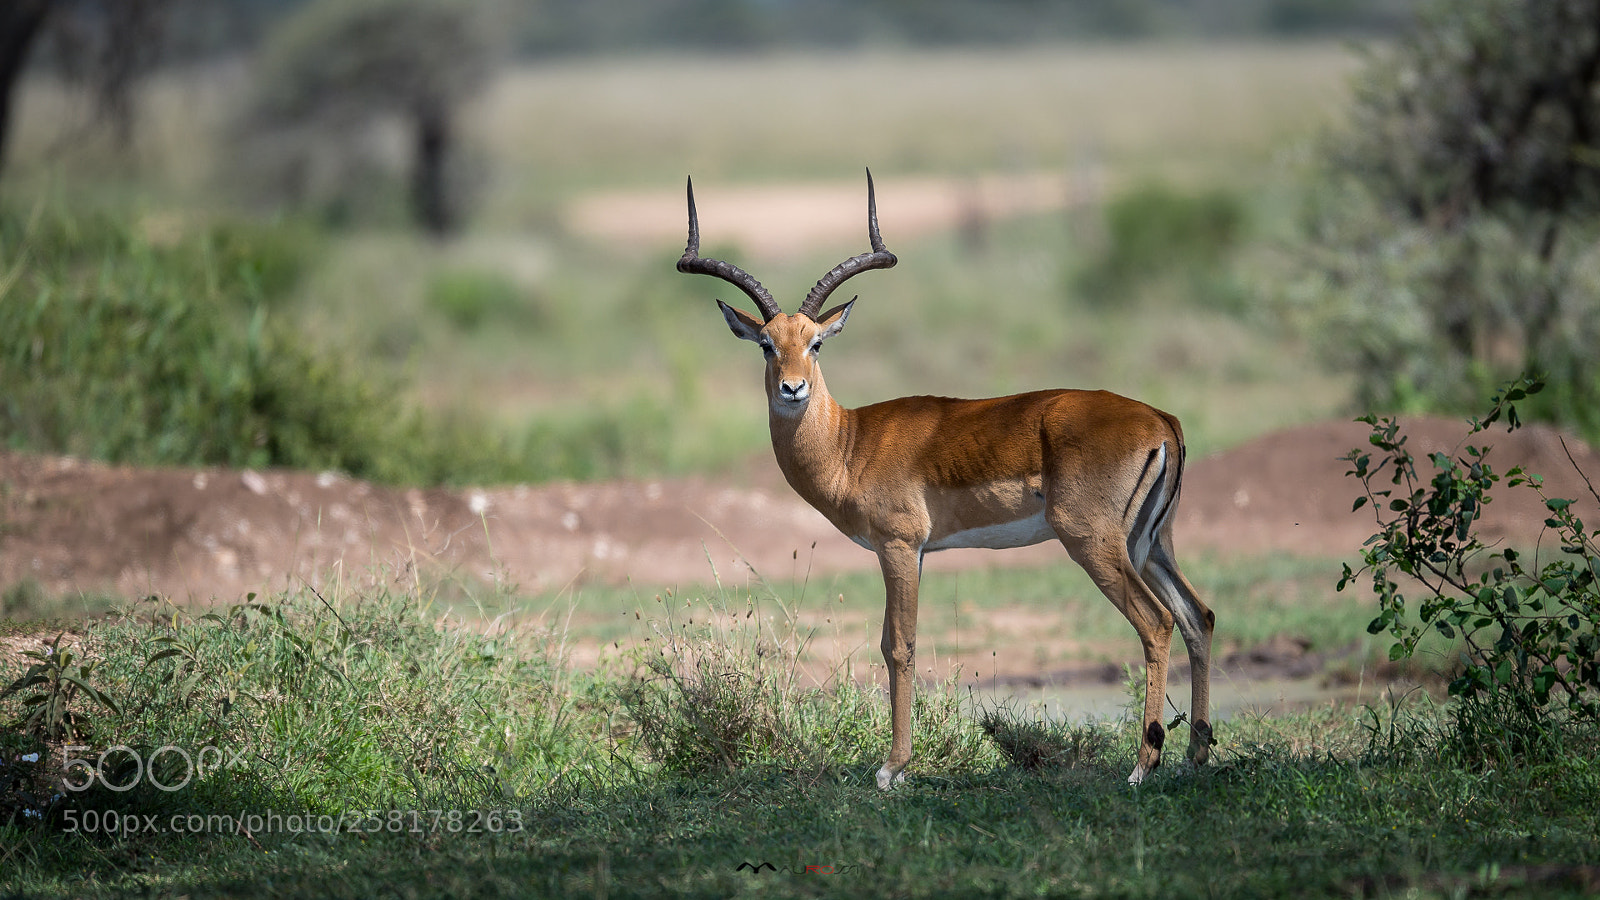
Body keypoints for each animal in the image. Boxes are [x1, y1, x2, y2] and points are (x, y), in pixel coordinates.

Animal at [677, 171, 1216, 788]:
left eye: (816, 342)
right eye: (768, 344)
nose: (794, 388)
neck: (851, 443)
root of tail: (1161, 420)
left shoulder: (898, 545)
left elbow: (899, 645)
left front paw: (892, 768)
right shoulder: (916, 553)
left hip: (1095, 543)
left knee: (1157, 623)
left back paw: (1142, 766)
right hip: (1150, 543)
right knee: (1198, 616)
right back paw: (1197, 756)